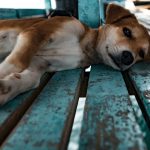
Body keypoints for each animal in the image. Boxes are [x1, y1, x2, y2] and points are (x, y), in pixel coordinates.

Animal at [0, 3, 149, 104]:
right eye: (127, 31)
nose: (128, 57)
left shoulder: (39, 65)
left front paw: (5, 89)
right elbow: (17, 62)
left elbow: (26, 80)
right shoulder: (35, 33)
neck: (84, 48)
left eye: (141, 53)